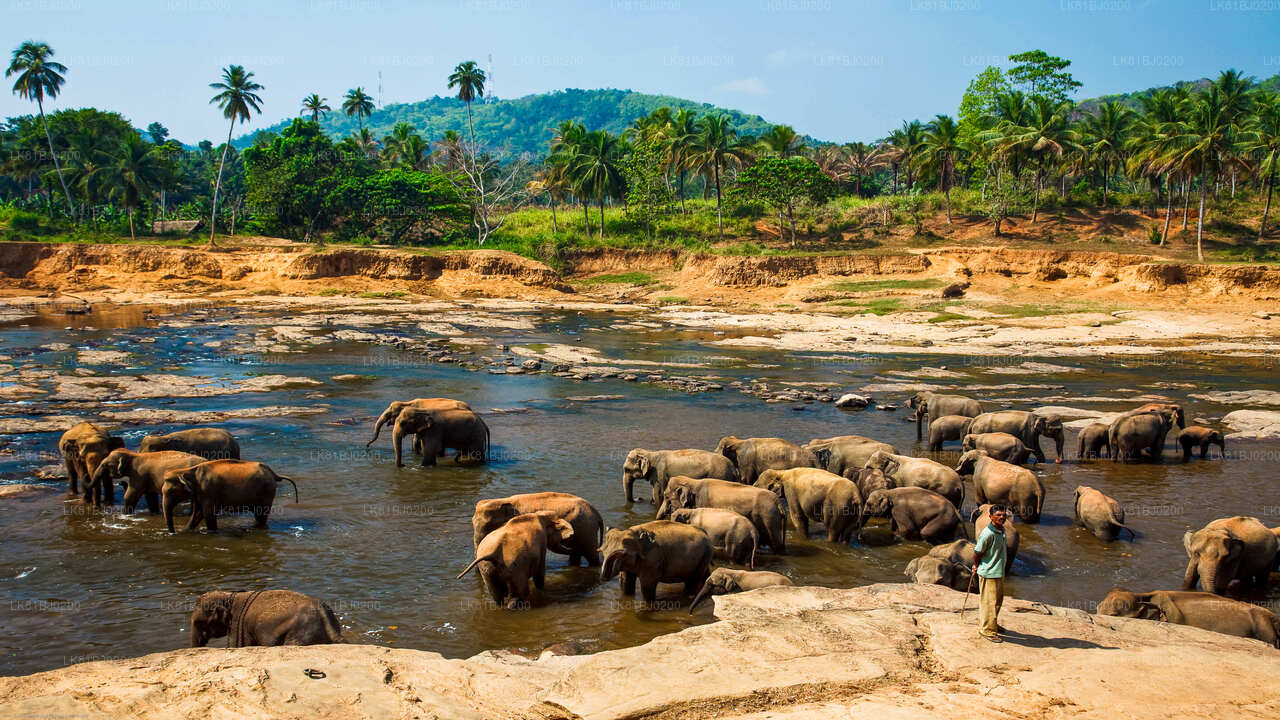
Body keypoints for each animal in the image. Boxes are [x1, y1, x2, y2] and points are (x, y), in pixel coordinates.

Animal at [161, 460, 299, 534]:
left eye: (171, 492)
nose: (173, 533)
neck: (187, 471)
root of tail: (275, 474)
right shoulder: (199, 493)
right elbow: (197, 514)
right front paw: (186, 531)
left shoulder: (209, 492)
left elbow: (208, 514)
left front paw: (211, 532)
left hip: (266, 492)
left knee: (261, 514)